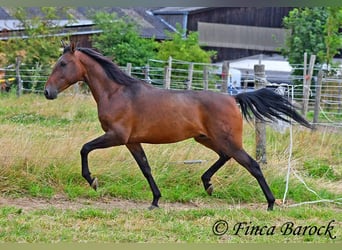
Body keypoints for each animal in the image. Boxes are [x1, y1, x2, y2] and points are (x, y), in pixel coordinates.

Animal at [45, 43, 312, 211]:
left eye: (63, 64)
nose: (48, 92)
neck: (117, 93)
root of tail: (233, 97)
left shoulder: (116, 136)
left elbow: (84, 148)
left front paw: (92, 181)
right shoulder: (132, 141)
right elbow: (146, 168)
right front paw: (155, 201)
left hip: (226, 140)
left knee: (252, 164)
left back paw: (270, 203)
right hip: (206, 138)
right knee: (226, 157)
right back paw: (208, 184)